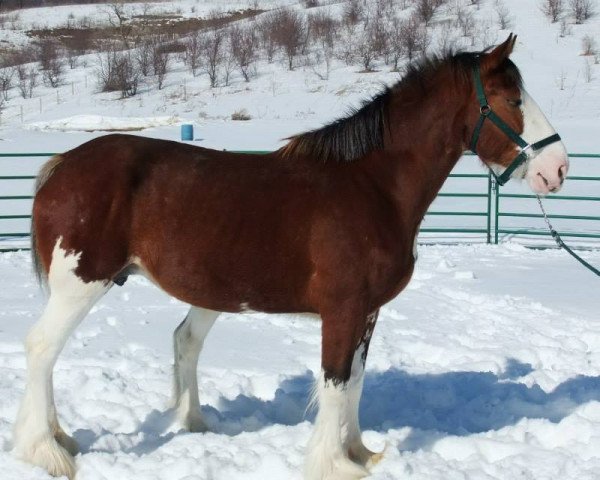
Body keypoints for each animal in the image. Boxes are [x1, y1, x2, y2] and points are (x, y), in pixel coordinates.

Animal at [14, 34, 568, 480]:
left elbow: (355, 382)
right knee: (41, 347)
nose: (557, 169)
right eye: (512, 99)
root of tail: (62, 164)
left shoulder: (367, 312)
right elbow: (335, 381)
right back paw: (47, 452)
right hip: (81, 282)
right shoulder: (343, 310)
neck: (373, 185)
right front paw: (332, 465)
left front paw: (359, 452)